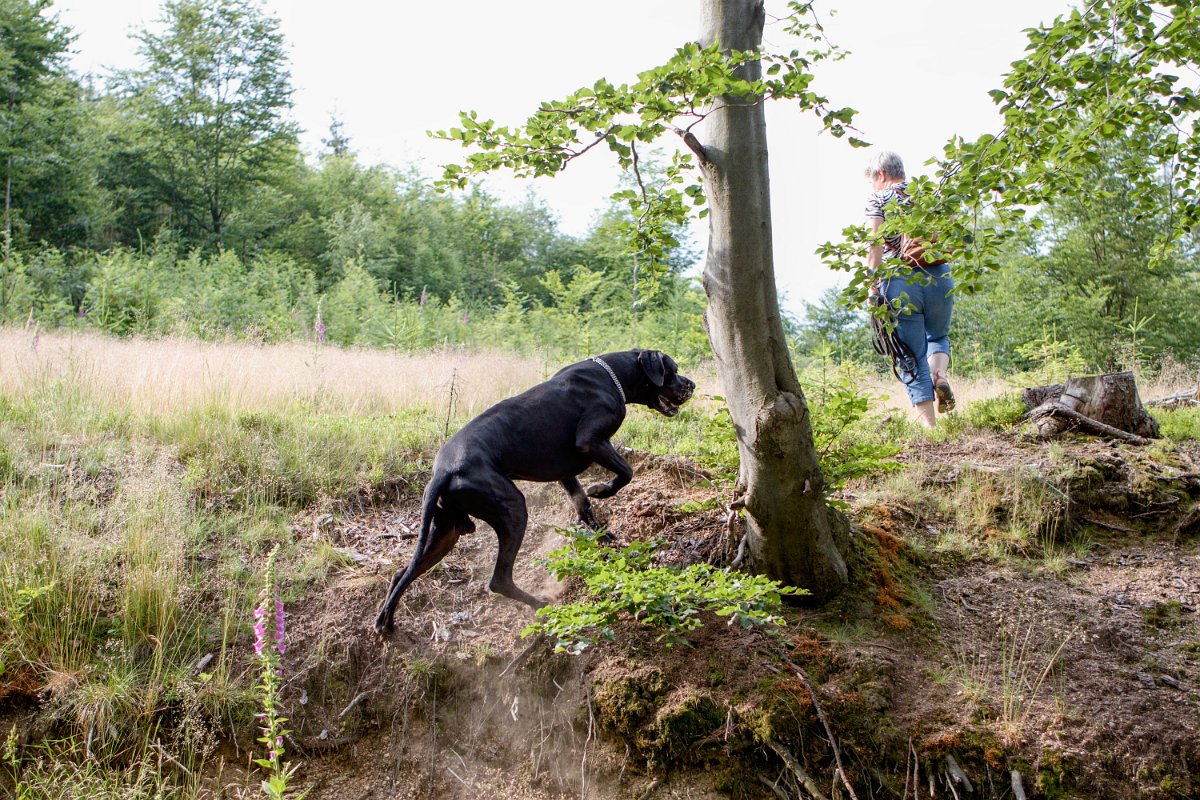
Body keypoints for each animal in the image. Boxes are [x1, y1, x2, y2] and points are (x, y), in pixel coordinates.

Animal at [372, 347, 696, 633]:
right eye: (673, 369)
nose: (691, 384)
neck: (612, 375)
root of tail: (442, 470)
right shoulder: (591, 441)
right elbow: (626, 473)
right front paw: (601, 490)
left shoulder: (566, 472)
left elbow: (582, 505)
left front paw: (603, 537)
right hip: (513, 508)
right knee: (499, 580)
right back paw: (542, 604)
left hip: (446, 530)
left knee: (402, 572)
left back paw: (386, 621)